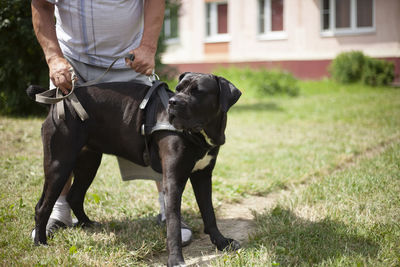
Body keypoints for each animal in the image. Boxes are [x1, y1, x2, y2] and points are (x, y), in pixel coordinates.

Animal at [28, 72, 241, 266]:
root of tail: (59, 101)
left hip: (89, 162)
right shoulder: (173, 180)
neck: (200, 134)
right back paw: (40, 242)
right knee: (43, 206)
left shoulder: (203, 176)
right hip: (60, 164)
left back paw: (87, 224)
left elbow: (209, 213)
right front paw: (175, 260)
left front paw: (222, 242)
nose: (172, 102)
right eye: (178, 89)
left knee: (75, 195)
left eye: (198, 92)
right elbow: (173, 224)